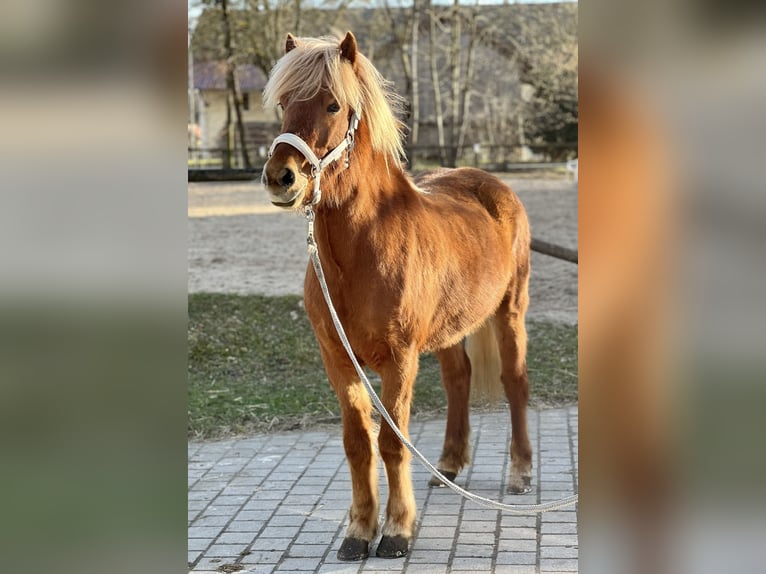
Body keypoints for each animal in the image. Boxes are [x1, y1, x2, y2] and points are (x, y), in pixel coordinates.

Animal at [262, 32, 533, 561]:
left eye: (333, 104)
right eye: (283, 103)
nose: (281, 177)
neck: (360, 253)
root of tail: (493, 186)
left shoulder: (400, 358)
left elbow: (392, 441)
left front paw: (398, 531)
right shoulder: (338, 360)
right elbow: (357, 442)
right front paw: (358, 531)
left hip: (510, 312)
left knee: (514, 382)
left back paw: (521, 473)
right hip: (452, 329)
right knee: (458, 380)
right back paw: (448, 466)